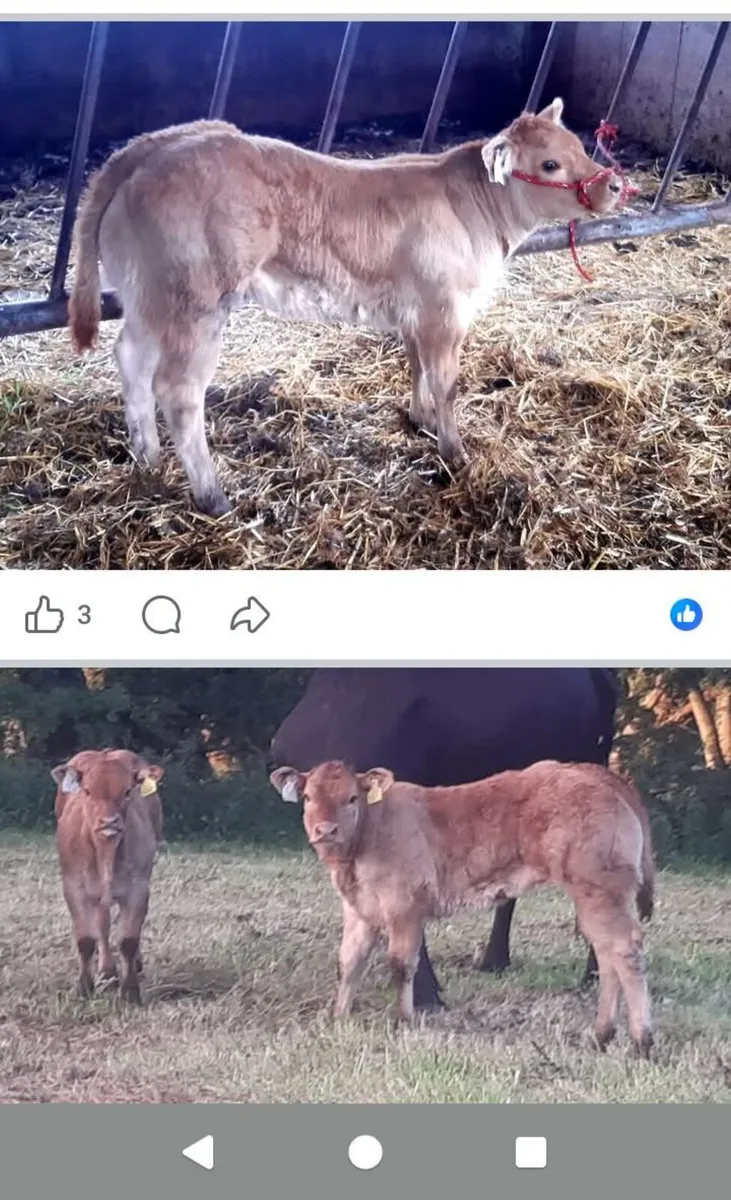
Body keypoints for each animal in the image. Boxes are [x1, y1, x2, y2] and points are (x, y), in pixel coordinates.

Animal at [52, 748, 164, 1003]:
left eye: (127, 791)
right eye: (87, 791)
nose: (109, 822)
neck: (106, 854)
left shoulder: (138, 888)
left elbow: (129, 940)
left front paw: (130, 992)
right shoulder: (74, 888)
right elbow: (86, 939)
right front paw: (84, 987)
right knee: (102, 925)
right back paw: (106, 971)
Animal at [68, 99, 631, 515]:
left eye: (580, 146)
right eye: (549, 164)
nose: (615, 184)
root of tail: (153, 147)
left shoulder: (417, 309)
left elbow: (417, 367)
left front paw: (419, 419)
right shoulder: (445, 310)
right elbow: (446, 383)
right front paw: (455, 454)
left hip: (149, 297)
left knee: (132, 362)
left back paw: (147, 459)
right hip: (196, 302)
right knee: (178, 392)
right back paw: (213, 496)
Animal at [270, 758, 655, 1057]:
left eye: (351, 798)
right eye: (308, 796)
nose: (325, 830)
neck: (367, 837)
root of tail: (594, 772)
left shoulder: (405, 906)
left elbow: (402, 964)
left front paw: (403, 1020)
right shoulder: (359, 909)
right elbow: (348, 963)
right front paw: (338, 1017)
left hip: (600, 887)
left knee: (625, 950)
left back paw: (642, 1042)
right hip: (594, 895)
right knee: (606, 953)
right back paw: (602, 1036)